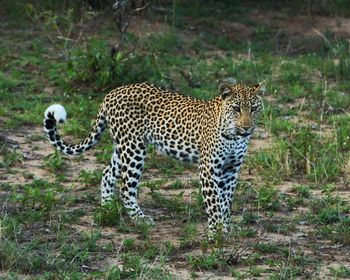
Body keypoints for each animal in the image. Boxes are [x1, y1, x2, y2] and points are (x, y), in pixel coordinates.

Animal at [43, 81, 262, 234]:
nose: (247, 127)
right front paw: (215, 234)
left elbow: (226, 202)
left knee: (107, 173)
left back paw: (107, 209)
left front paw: (227, 228)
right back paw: (139, 219)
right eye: (236, 108)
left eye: (254, 108)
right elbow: (215, 203)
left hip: (123, 147)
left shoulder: (231, 170)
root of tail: (111, 93)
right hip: (133, 148)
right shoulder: (209, 169)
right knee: (125, 187)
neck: (234, 136)